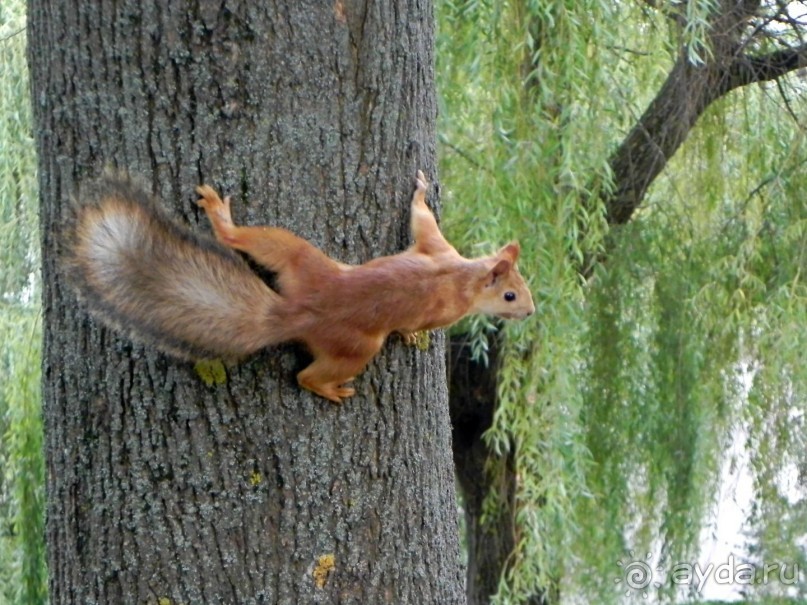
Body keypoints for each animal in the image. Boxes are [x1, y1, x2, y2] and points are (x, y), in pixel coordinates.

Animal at [66, 169, 536, 402]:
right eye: (510, 295)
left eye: (524, 284)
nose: (530, 312)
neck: (463, 275)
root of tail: (299, 312)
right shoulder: (445, 300)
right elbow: (419, 320)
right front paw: (411, 334)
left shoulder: (437, 247)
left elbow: (422, 221)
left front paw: (420, 191)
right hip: (358, 347)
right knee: (306, 376)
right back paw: (329, 389)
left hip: (298, 258)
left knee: (243, 242)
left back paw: (222, 219)